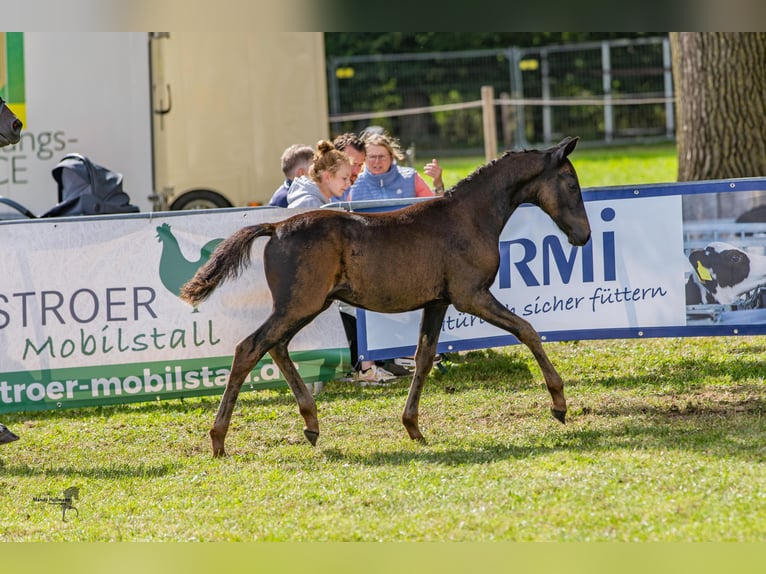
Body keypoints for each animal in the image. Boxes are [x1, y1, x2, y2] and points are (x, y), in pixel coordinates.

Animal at [183, 136, 592, 460]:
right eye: (571, 183)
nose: (584, 236)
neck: (470, 217)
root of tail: (277, 225)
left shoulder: (438, 302)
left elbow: (424, 357)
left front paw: (413, 426)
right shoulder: (471, 295)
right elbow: (527, 330)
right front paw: (559, 404)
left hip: (305, 306)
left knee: (277, 347)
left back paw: (311, 424)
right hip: (300, 305)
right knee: (249, 348)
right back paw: (218, 440)